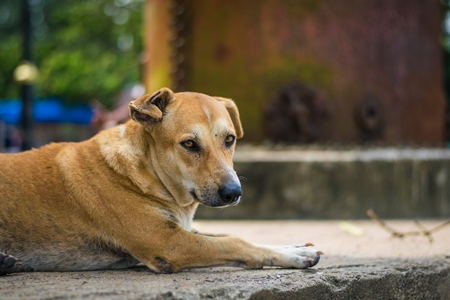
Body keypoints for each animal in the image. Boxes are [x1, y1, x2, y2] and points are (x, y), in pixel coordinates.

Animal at [0, 87, 324, 274]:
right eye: (189, 144)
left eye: (230, 139)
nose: (234, 192)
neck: (146, 174)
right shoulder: (168, 242)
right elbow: (235, 241)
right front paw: (290, 255)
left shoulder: (182, 230)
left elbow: (229, 235)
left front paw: (291, 247)